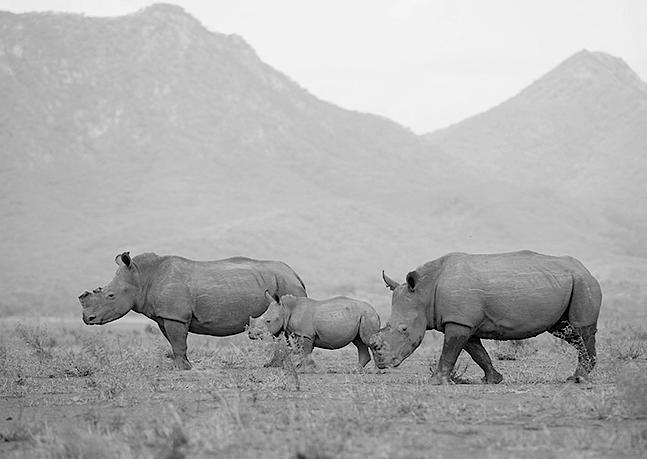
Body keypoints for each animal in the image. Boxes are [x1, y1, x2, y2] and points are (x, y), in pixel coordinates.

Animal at [78, 252, 306, 370]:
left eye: (111, 296)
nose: (87, 318)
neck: (142, 277)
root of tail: (295, 274)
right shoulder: (165, 316)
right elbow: (175, 342)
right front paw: (184, 365)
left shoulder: (175, 316)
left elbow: (178, 342)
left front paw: (181, 369)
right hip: (282, 284)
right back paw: (273, 365)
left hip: (286, 285)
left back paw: (277, 366)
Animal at [248, 294, 380, 370]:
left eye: (268, 321)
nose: (251, 335)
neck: (286, 309)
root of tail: (375, 310)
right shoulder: (300, 334)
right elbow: (304, 351)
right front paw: (304, 367)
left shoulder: (305, 335)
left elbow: (305, 351)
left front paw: (304, 370)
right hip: (362, 315)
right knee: (359, 342)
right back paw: (356, 370)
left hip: (368, 315)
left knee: (368, 340)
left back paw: (379, 369)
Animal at [370, 252, 604, 384]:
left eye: (403, 329)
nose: (382, 364)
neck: (424, 291)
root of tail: (586, 269)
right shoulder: (463, 321)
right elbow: (477, 352)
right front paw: (493, 380)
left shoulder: (458, 321)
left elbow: (450, 352)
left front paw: (435, 381)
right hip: (569, 283)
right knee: (567, 331)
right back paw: (579, 375)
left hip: (582, 283)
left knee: (581, 329)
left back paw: (579, 378)